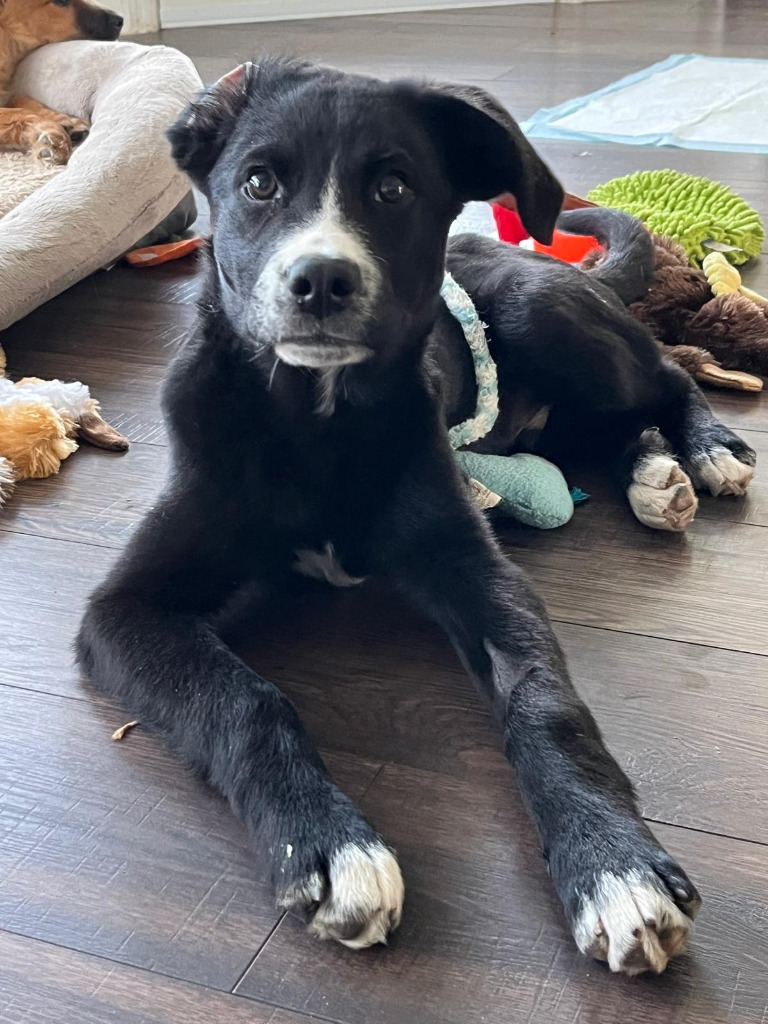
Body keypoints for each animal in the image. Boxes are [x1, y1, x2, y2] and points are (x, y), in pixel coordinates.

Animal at [0, 0, 123, 162]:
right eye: (61, 1)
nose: (120, 20)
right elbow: (17, 111)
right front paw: (48, 129)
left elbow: (21, 99)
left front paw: (64, 120)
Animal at [78, 58, 729, 974]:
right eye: (258, 183)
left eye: (393, 187)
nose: (320, 280)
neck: (316, 420)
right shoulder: (124, 610)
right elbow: (244, 701)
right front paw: (326, 845)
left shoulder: (479, 572)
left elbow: (546, 703)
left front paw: (615, 864)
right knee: (610, 428)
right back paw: (654, 473)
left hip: (545, 316)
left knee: (670, 370)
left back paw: (705, 450)